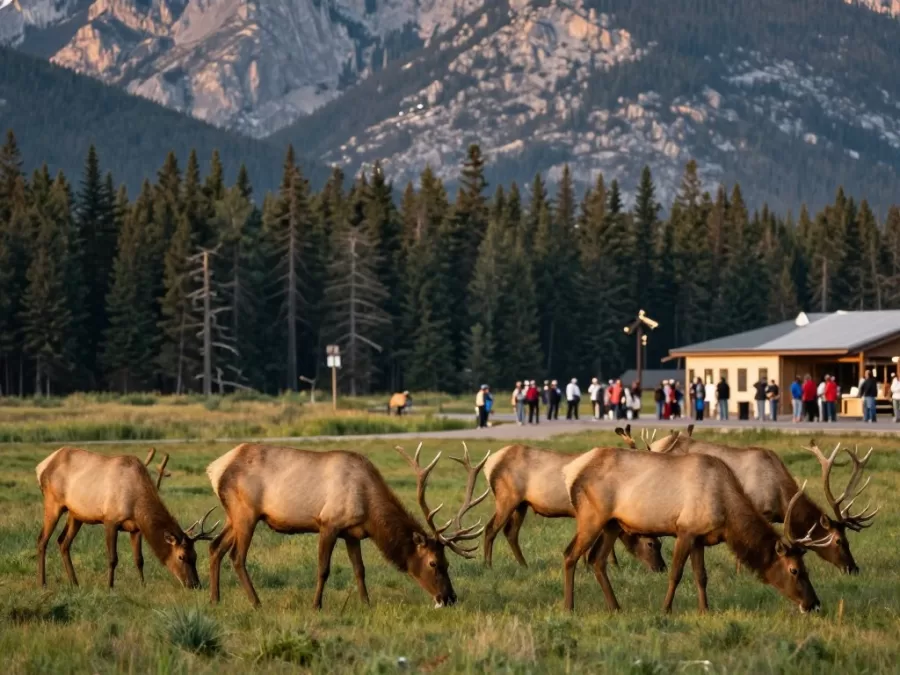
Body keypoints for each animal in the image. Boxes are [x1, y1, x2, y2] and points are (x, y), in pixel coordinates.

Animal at [35, 447, 218, 589]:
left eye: (195, 555)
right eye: (181, 556)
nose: (195, 584)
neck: (136, 504)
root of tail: (41, 466)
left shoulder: (136, 528)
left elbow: (139, 559)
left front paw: (143, 585)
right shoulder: (110, 520)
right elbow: (112, 558)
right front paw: (110, 586)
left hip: (75, 514)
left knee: (63, 542)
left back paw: (74, 583)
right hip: (53, 502)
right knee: (42, 539)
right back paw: (42, 583)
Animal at [206, 442, 489, 609]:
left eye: (448, 562)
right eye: (433, 563)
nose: (449, 598)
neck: (369, 509)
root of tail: (214, 468)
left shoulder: (352, 534)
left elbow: (359, 569)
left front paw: (366, 603)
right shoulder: (328, 523)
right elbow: (323, 569)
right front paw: (316, 605)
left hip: (233, 516)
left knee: (215, 546)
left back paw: (215, 598)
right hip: (246, 512)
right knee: (237, 556)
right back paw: (256, 602)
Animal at [482, 443, 666, 573]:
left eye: (660, 544)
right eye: (651, 544)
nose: (661, 568)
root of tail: (488, 464)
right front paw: (589, 567)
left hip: (521, 504)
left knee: (510, 532)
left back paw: (523, 565)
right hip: (507, 497)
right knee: (490, 528)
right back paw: (488, 565)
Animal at [561, 447, 827, 614]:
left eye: (807, 568)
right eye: (794, 570)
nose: (814, 604)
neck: (726, 515)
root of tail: (571, 473)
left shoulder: (700, 538)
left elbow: (701, 575)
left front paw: (704, 609)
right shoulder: (685, 530)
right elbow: (676, 573)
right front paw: (666, 609)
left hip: (612, 523)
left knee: (597, 559)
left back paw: (615, 606)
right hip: (592, 516)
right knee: (570, 554)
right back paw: (569, 607)